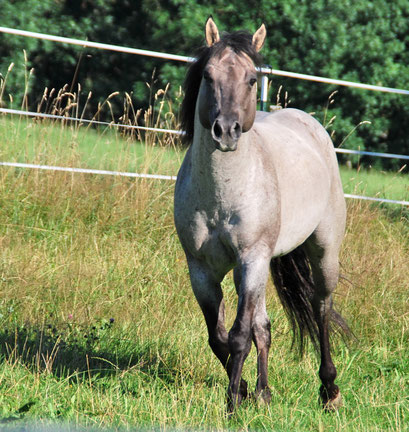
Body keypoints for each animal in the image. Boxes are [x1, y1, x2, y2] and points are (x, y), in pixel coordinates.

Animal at [172, 17, 348, 412]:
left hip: (323, 250)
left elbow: (238, 335)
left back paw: (329, 390)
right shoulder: (201, 270)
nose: (226, 131)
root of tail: (308, 123)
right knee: (263, 326)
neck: (222, 195)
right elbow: (220, 337)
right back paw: (265, 392)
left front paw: (232, 403)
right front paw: (244, 391)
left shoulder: (251, 258)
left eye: (252, 79)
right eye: (208, 75)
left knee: (320, 307)